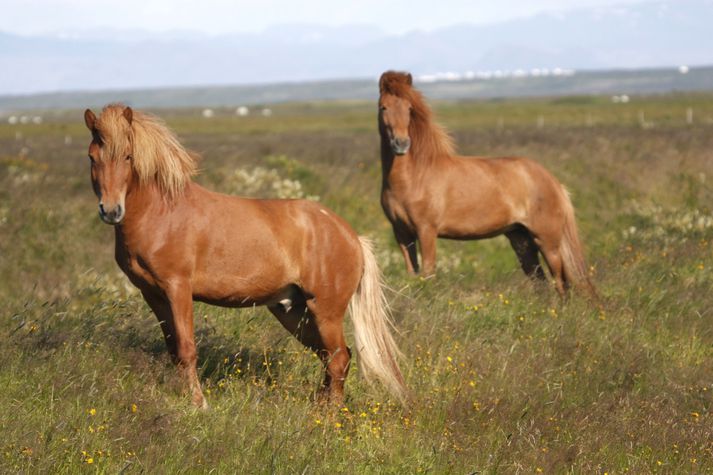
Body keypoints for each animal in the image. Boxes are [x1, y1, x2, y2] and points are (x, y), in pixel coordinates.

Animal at [83, 105, 406, 410]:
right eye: (91, 157)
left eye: (127, 156)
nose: (110, 211)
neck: (163, 212)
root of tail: (351, 236)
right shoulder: (153, 294)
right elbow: (174, 350)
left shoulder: (178, 289)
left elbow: (187, 349)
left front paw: (199, 404)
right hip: (293, 312)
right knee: (331, 357)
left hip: (325, 312)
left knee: (338, 357)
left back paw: (330, 414)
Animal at [378, 71, 596, 296]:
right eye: (383, 107)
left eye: (409, 108)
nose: (401, 144)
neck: (415, 177)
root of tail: (554, 182)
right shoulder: (402, 234)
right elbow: (412, 273)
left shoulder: (426, 231)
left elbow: (428, 274)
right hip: (521, 239)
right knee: (541, 281)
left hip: (547, 241)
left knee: (561, 284)